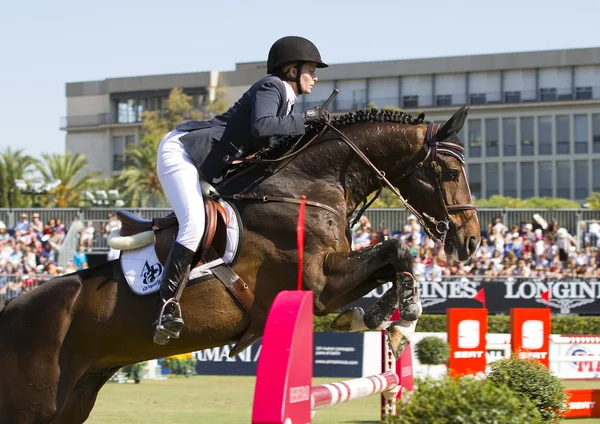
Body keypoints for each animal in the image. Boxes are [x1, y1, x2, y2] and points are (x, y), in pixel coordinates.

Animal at [0, 105, 478, 420]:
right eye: (452, 173)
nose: (471, 241)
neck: (305, 188)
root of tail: (11, 309)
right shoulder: (319, 283)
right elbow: (397, 251)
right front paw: (401, 319)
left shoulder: (331, 278)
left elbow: (392, 261)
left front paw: (378, 320)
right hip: (34, 405)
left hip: (74, 400)